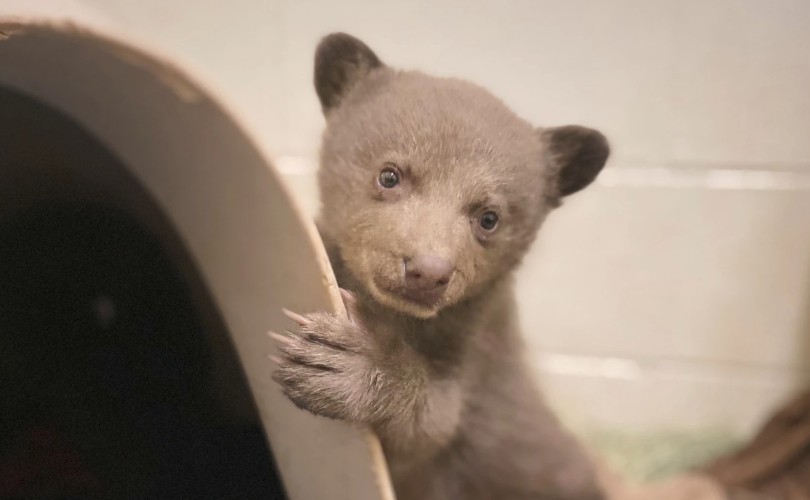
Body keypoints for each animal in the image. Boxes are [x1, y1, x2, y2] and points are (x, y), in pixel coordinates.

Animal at [271, 33, 610, 500]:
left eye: (489, 217)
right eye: (389, 175)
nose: (427, 271)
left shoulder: (475, 353)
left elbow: (432, 427)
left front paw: (340, 362)